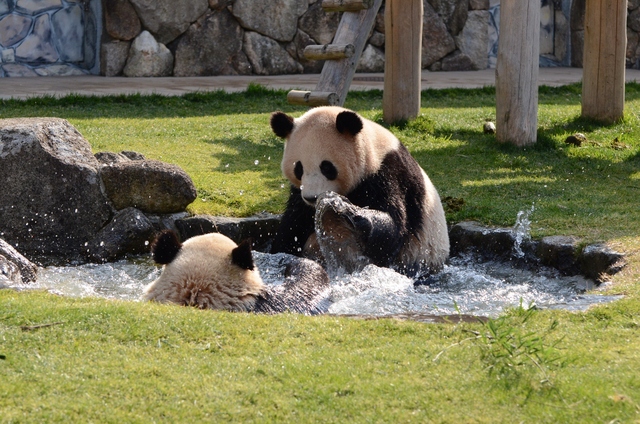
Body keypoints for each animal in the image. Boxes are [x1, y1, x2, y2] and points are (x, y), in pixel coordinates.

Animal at [270, 107, 450, 274]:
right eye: (299, 168)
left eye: (327, 167)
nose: (312, 197)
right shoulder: (298, 195)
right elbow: (293, 223)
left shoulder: (388, 173)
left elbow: (392, 228)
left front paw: (350, 211)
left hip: (421, 255)